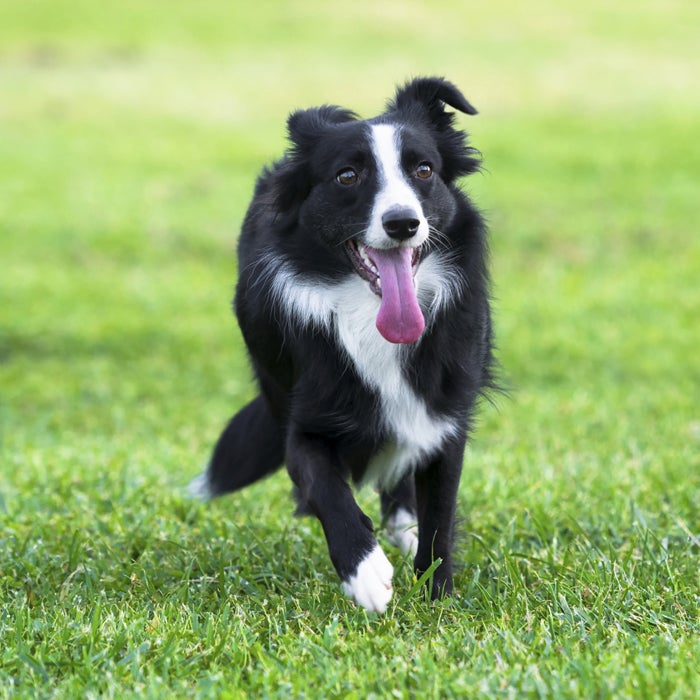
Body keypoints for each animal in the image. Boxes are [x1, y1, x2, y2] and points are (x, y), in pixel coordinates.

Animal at [189, 78, 494, 612]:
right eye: (347, 176)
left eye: (424, 170)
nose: (402, 223)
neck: (367, 315)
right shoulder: (302, 422)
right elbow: (325, 487)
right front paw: (365, 571)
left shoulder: (443, 415)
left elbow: (439, 515)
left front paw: (437, 595)